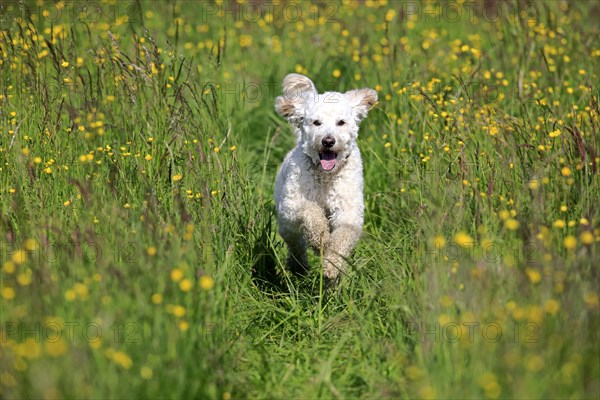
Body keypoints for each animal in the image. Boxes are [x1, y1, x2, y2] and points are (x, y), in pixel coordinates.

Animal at [274, 75, 378, 282]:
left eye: (341, 122)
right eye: (316, 122)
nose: (328, 141)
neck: (326, 176)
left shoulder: (349, 212)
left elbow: (342, 237)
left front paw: (331, 265)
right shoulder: (291, 205)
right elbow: (310, 210)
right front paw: (320, 241)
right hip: (287, 227)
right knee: (296, 246)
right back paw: (299, 267)